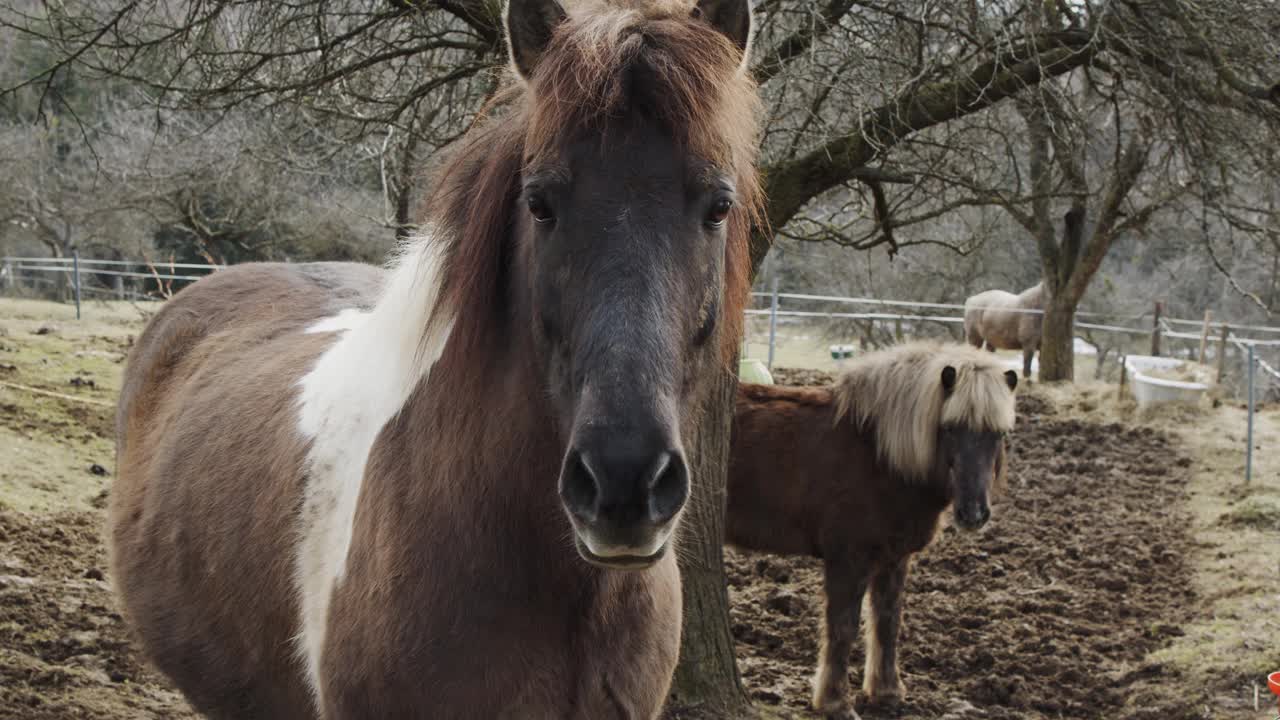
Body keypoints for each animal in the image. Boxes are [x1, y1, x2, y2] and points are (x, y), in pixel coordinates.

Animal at [727, 340, 1013, 717]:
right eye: (950, 427)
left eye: (999, 433)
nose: (974, 513)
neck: (881, 456)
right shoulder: (849, 560)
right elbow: (843, 627)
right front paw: (835, 702)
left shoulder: (894, 559)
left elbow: (887, 622)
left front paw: (887, 691)